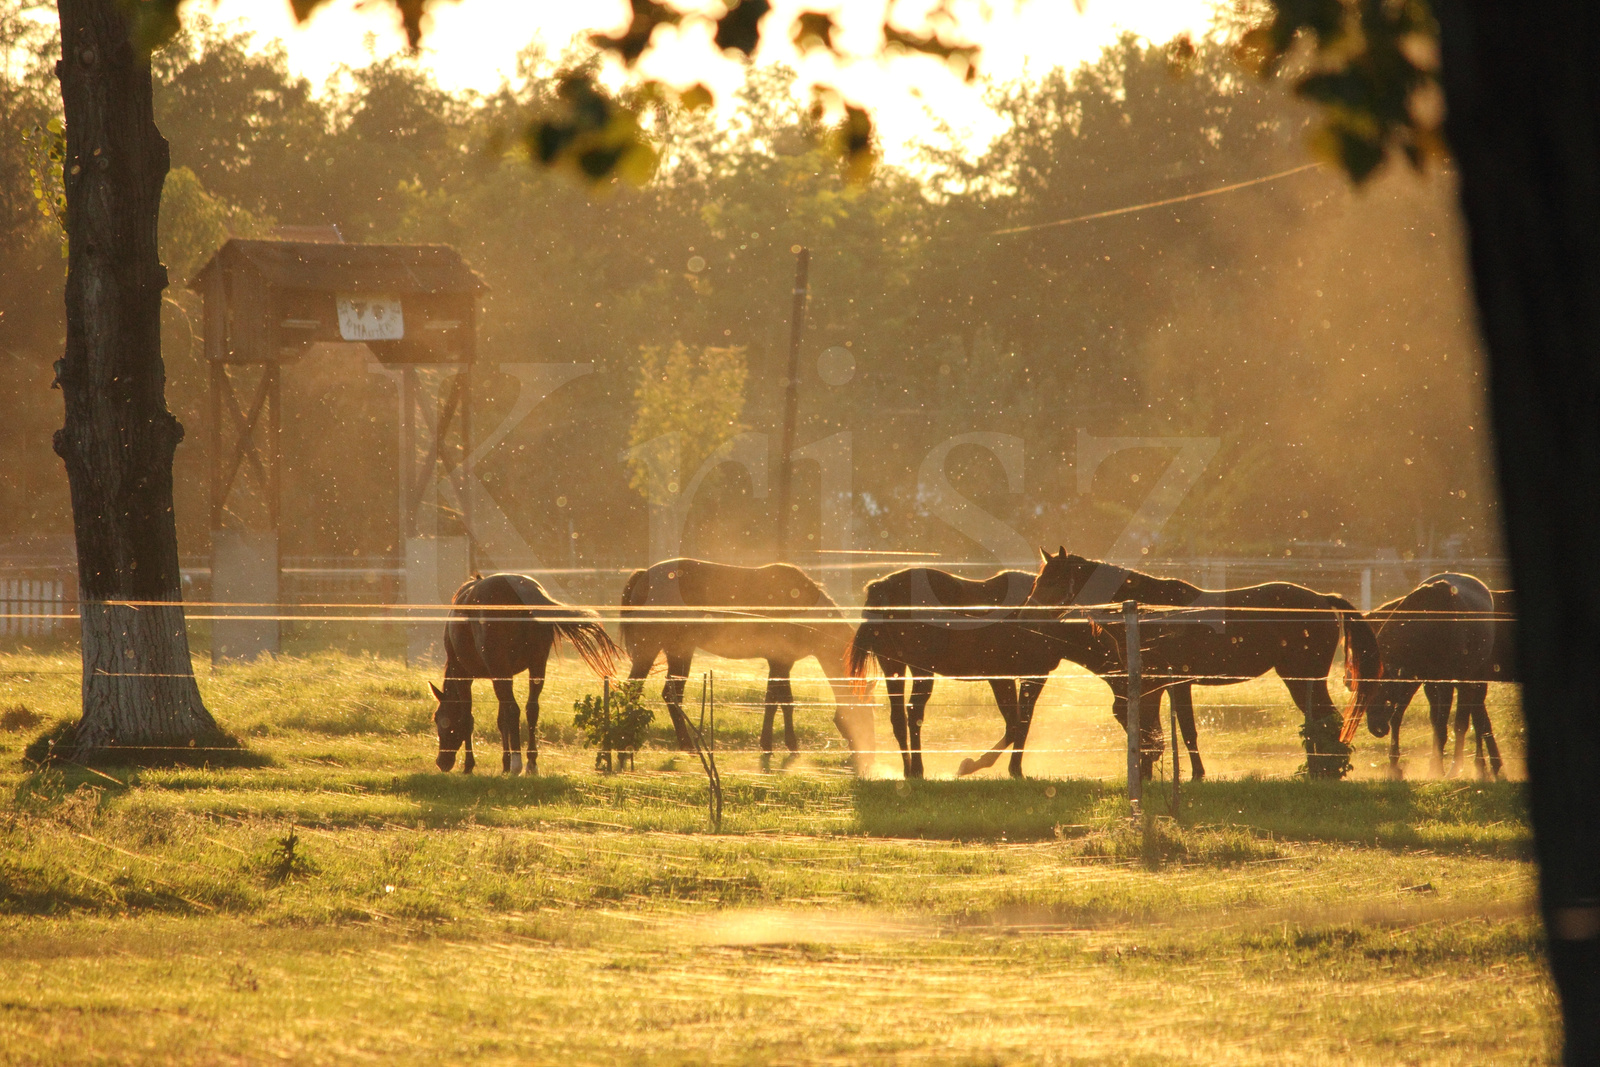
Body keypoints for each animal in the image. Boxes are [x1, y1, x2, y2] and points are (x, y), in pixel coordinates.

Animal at [620, 559, 876, 777]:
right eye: (866, 707)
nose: (870, 754)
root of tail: (644, 577)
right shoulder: (780, 661)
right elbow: (781, 701)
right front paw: (784, 746)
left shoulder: (781, 663)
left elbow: (776, 701)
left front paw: (774, 745)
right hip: (655, 650)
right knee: (644, 691)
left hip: (676, 651)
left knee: (663, 693)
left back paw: (677, 746)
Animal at [1024, 550, 1388, 777]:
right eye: (1037, 580)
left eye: (1052, 581)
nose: (1027, 615)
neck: (1150, 611)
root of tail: (1323, 599)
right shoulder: (1170, 686)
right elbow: (1175, 731)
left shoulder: (1159, 685)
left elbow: (1164, 732)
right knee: (1320, 721)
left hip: (1302, 678)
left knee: (1325, 720)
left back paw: (1324, 771)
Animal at [1356, 572, 1504, 780]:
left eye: (1383, 690)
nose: (1376, 728)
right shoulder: (1416, 680)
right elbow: (1401, 719)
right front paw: (1396, 766)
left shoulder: (1445, 682)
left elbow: (1447, 725)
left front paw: (1441, 770)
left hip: (1473, 680)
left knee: (1472, 722)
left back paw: (1477, 767)